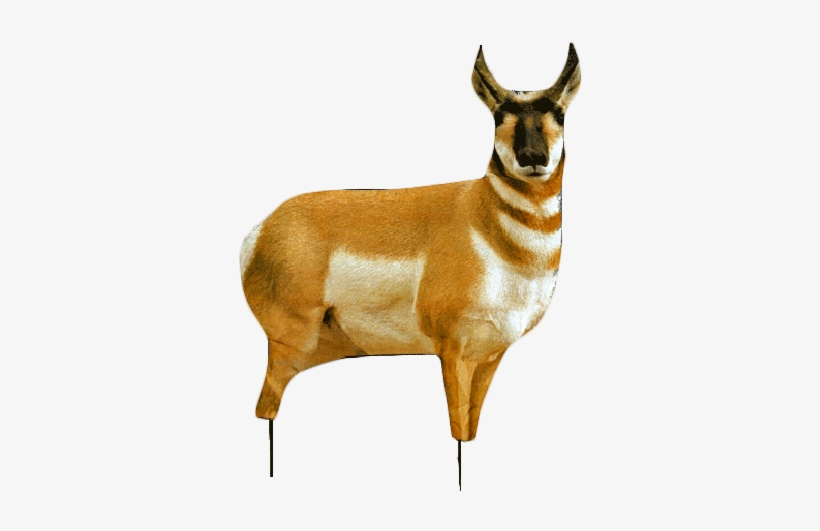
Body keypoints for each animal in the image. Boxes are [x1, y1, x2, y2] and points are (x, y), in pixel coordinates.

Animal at [241, 44, 580, 481]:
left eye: (559, 113)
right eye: (498, 115)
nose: (533, 157)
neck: (482, 216)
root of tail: (262, 227)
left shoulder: (489, 355)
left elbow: (470, 429)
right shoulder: (452, 351)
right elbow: (457, 429)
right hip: (291, 343)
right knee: (265, 409)